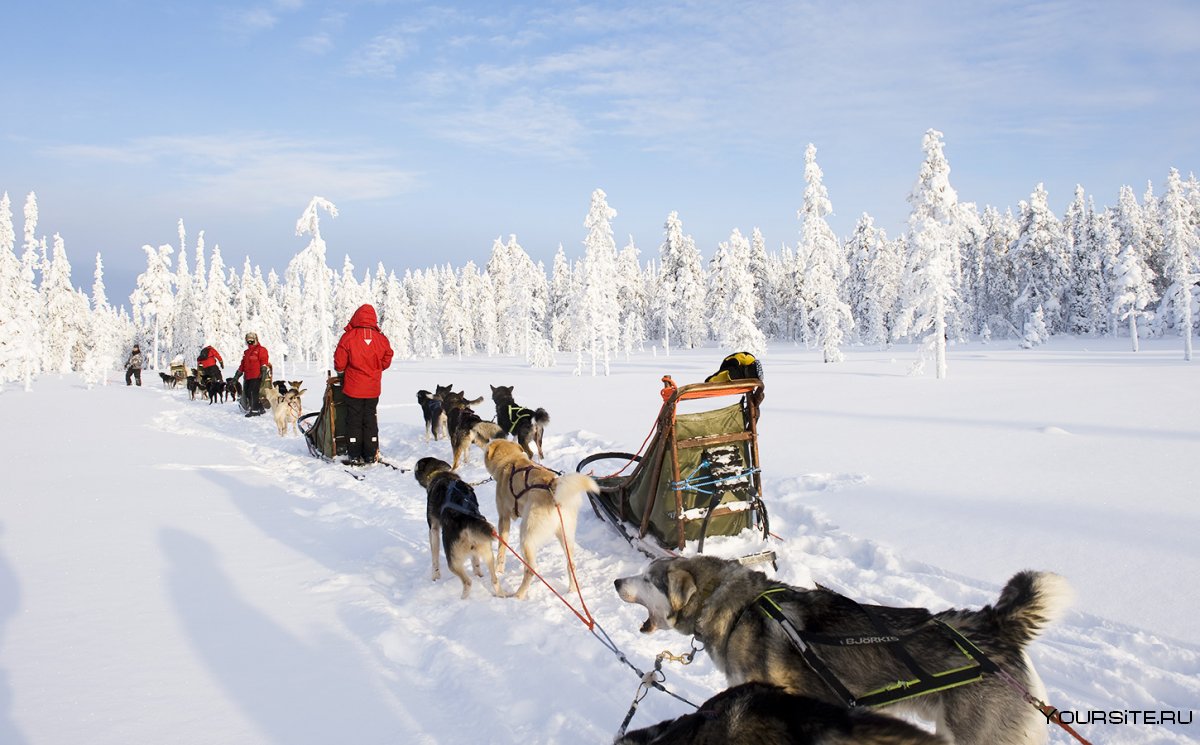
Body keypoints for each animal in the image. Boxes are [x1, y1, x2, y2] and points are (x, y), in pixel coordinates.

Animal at [415, 453, 504, 597]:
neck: (440, 474)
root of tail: (467, 519)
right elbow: (476, 564)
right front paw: (478, 573)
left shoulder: (433, 529)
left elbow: (434, 558)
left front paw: (435, 576)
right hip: (488, 555)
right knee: (494, 580)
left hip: (453, 561)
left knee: (467, 582)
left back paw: (463, 598)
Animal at [477, 439, 595, 602]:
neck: (511, 461)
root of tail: (552, 486)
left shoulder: (504, 518)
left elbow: (501, 549)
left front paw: (499, 570)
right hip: (566, 537)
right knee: (571, 564)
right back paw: (572, 591)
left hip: (526, 536)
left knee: (531, 569)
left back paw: (519, 595)